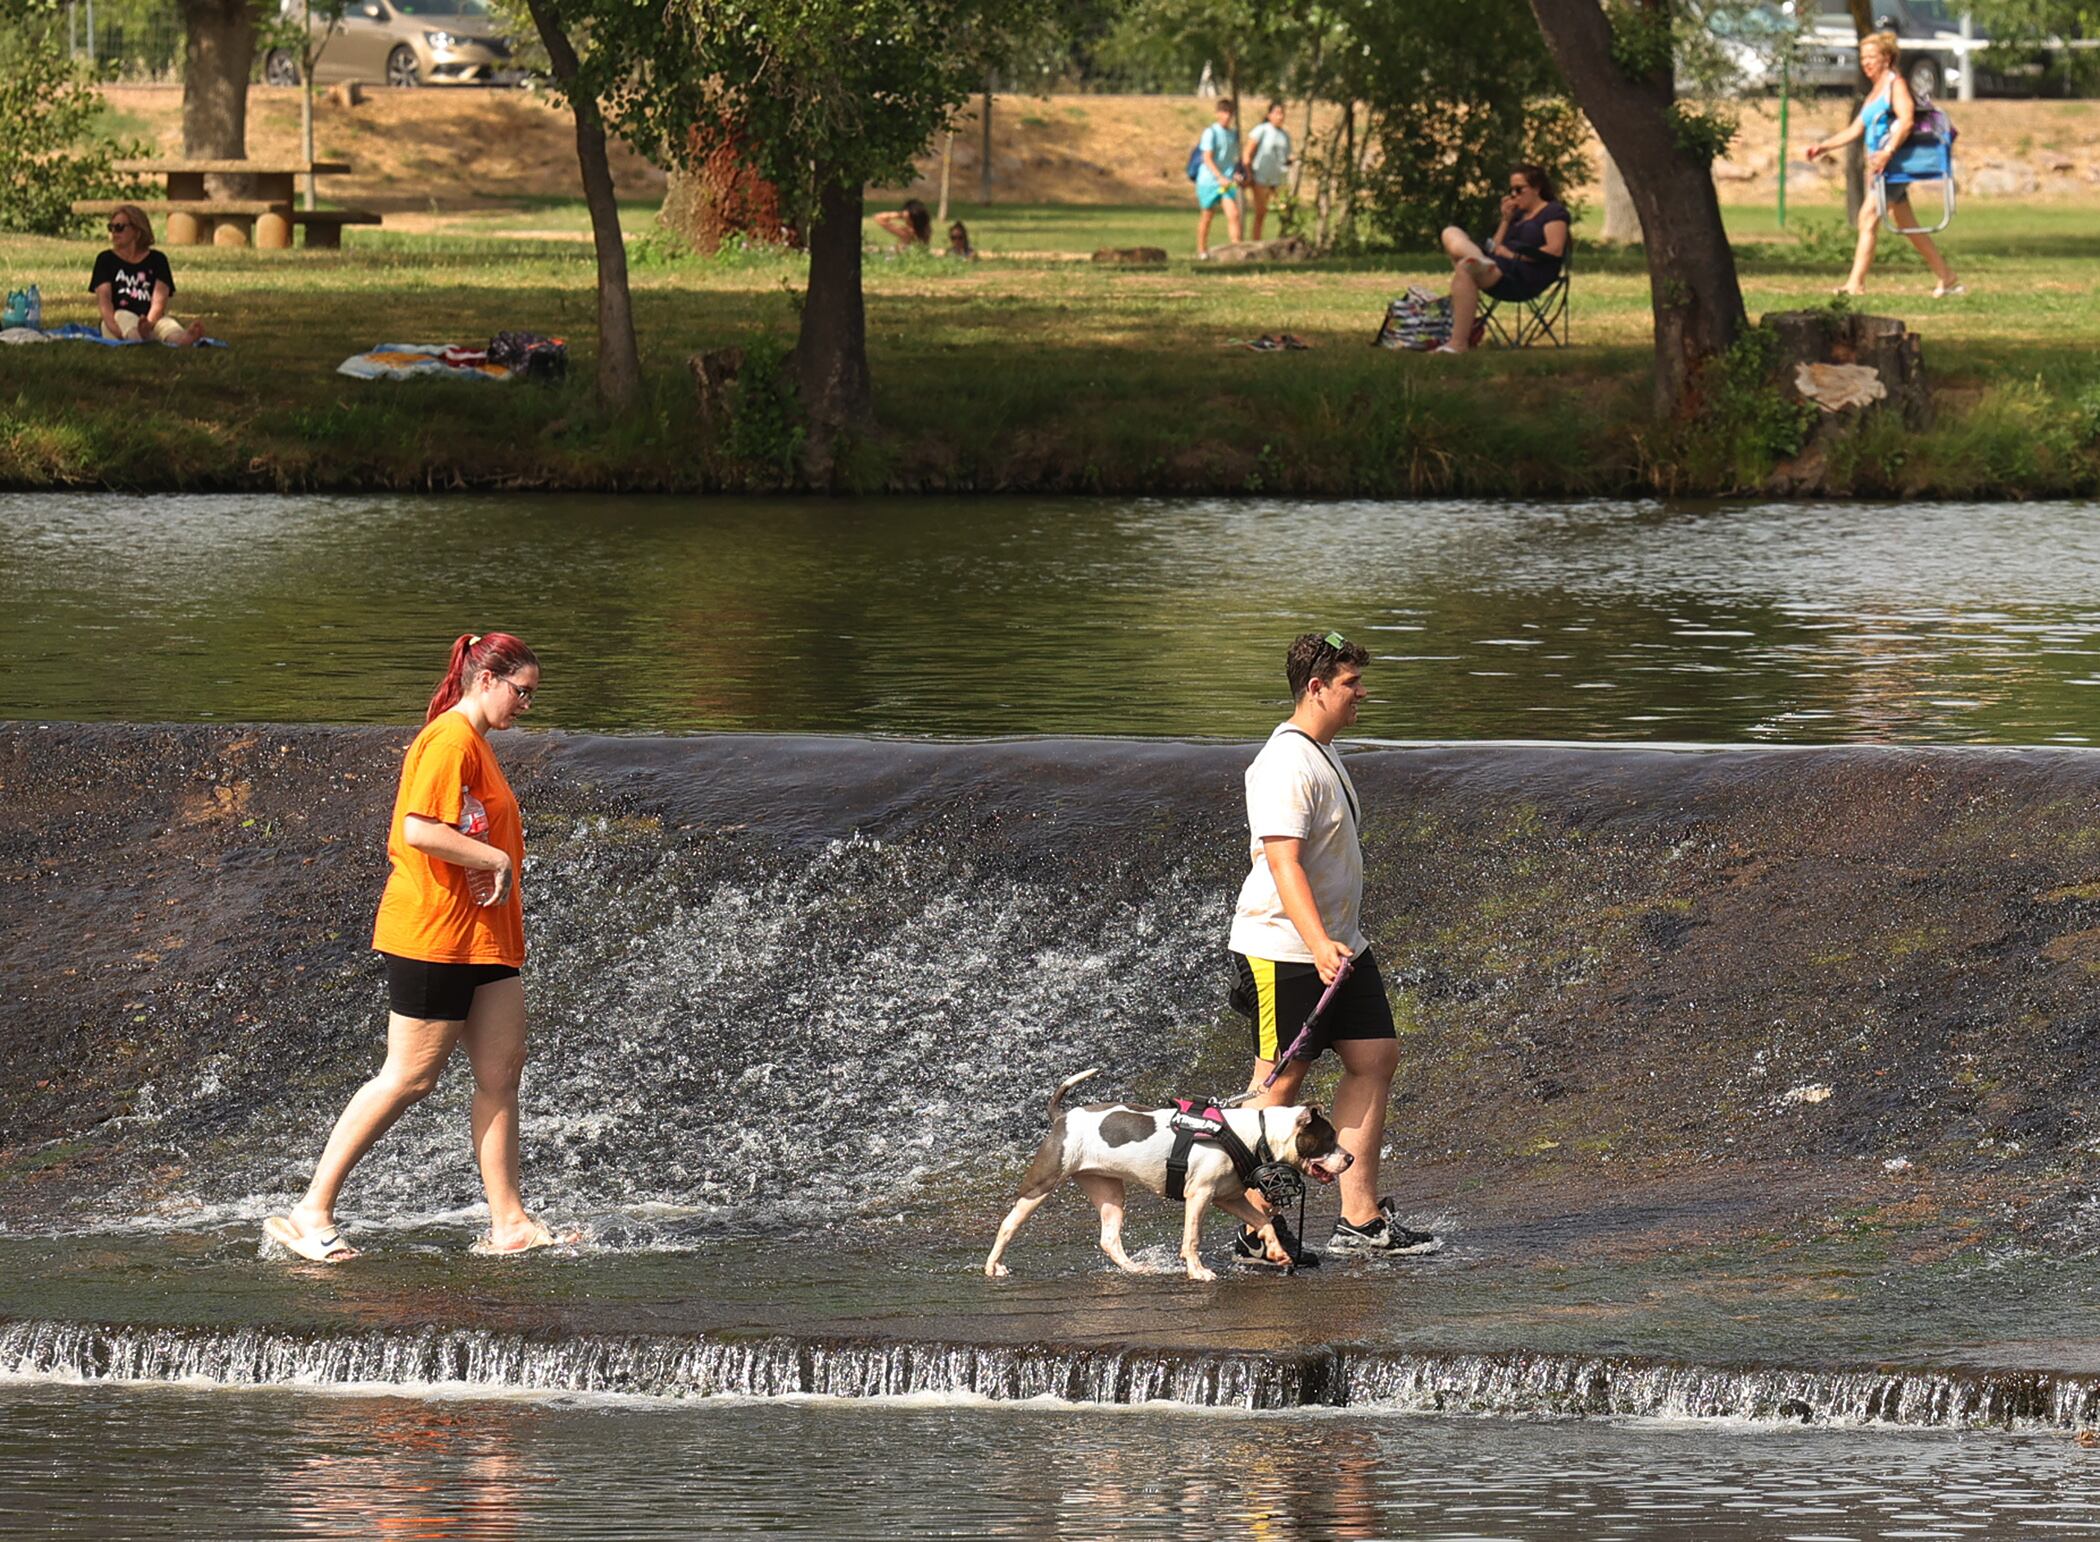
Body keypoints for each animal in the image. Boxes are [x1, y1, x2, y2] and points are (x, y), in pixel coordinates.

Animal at [978, 1067, 1352, 1285]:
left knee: (1109, 1238)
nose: (1349, 1158)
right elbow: (1193, 1238)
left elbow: (1263, 1221)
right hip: (1041, 1184)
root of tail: (1062, 1116)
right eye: (1329, 1139)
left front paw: (1277, 1253)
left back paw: (1135, 1269)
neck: (1255, 1134)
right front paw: (1197, 1271)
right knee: (1008, 1224)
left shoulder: (1228, 1197)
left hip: (1109, 1191)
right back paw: (993, 1266)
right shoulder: (1199, 1195)